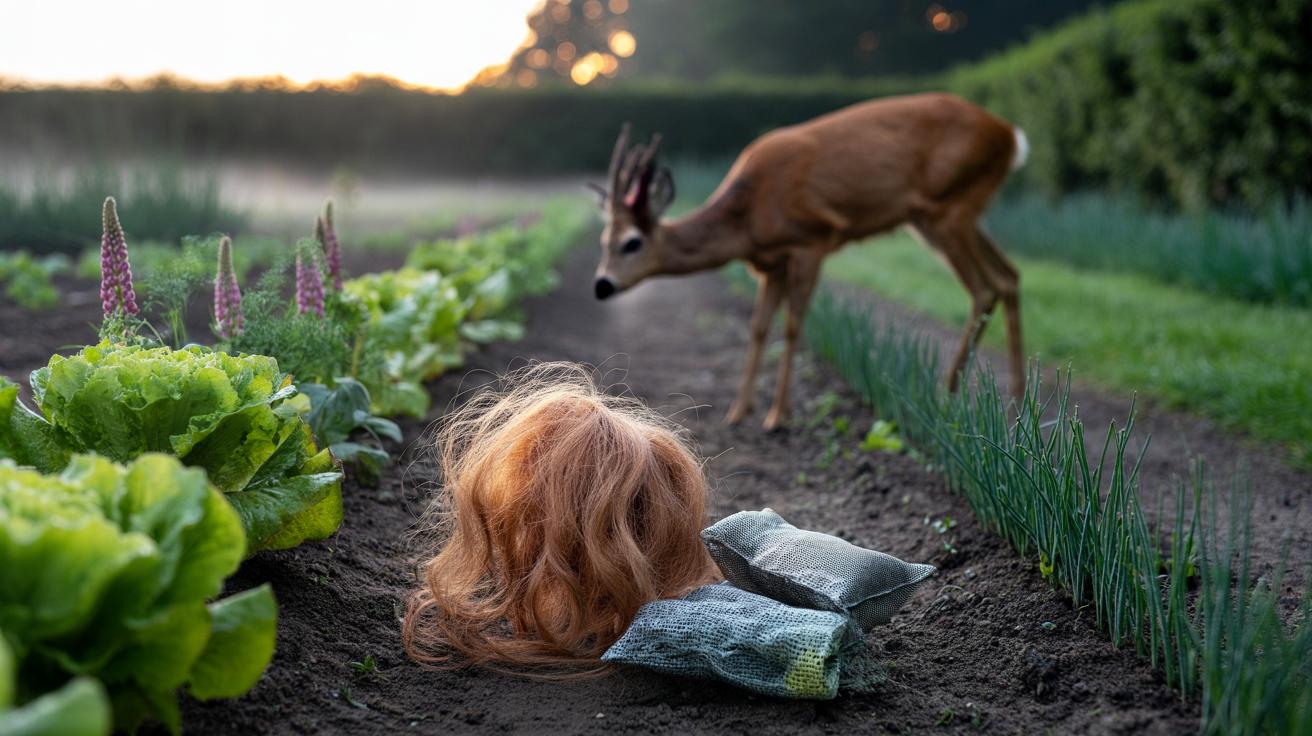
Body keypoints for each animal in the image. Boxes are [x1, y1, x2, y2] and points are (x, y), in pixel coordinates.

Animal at [590, 92, 1028, 429]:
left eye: (631, 243)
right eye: (603, 240)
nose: (602, 284)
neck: (749, 217)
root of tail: (1009, 134)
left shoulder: (812, 239)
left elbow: (793, 324)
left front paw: (777, 416)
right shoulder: (772, 263)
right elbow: (758, 327)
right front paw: (738, 410)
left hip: (948, 208)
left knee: (984, 287)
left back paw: (946, 398)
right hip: (946, 215)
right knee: (1009, 276)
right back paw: (1016, 401)